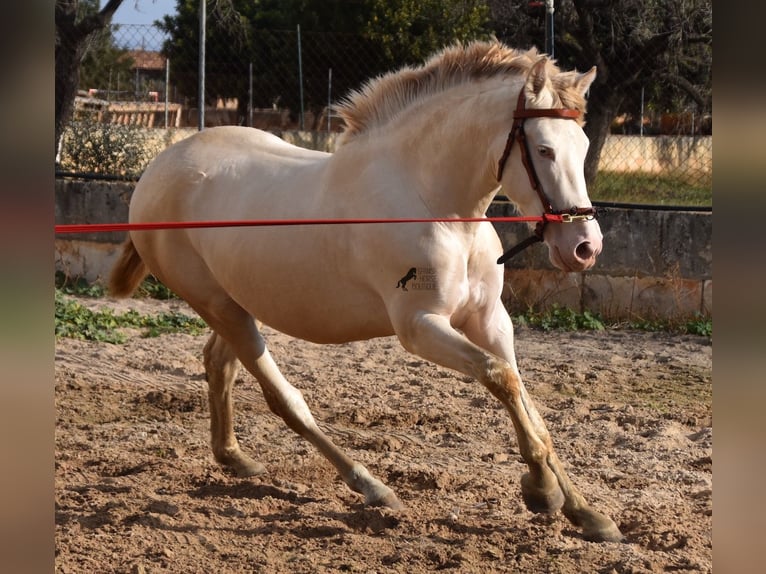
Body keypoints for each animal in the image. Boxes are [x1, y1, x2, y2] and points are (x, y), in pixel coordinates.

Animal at [108, 41, 624, 544]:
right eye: (544, 149)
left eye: (581, 146)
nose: (584, 247)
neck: (433, 206)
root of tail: (158, 168)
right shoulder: (419, 326)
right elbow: (501, 379)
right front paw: (541, 491)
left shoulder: (489, 319)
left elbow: (527, 402)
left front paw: (587, 514)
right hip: (220, 307)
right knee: (285, 400)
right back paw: (371, 486)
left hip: (237, 304)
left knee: (219, 363)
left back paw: (234, 456)